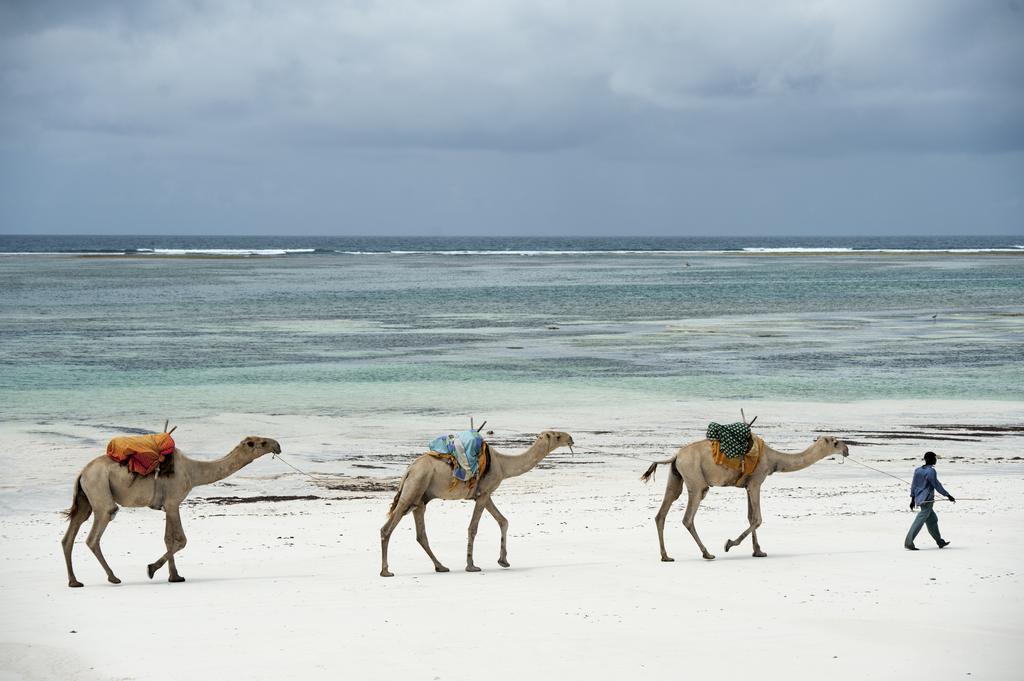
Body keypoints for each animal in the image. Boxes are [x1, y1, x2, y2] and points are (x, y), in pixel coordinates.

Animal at [62, 436, 280, 585]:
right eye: (259, 443)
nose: (277, 445)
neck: (193, 472)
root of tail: (82, 473)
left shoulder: (167, 506)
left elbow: (168, 539)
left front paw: (175, 576)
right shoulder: (174, 502)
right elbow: (181, 540)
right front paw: (151, 569)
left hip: (85, 498)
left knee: (70, 534)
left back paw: (74, 581)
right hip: (99, 489)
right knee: (95, 534)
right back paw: (113, 577)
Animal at [382, 430, 577, 573]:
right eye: (557, 436)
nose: (571, 438)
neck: (502, 465)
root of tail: (409, 470)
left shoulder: (485, 494)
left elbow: (503, 521)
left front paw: (503, 561)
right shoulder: (483, 494)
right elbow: (473, 528)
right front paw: (471, 566)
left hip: (420, 499)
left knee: (421, 534)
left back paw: (441, 567)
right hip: (413, 488)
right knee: (387, 528)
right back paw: (386, 571)